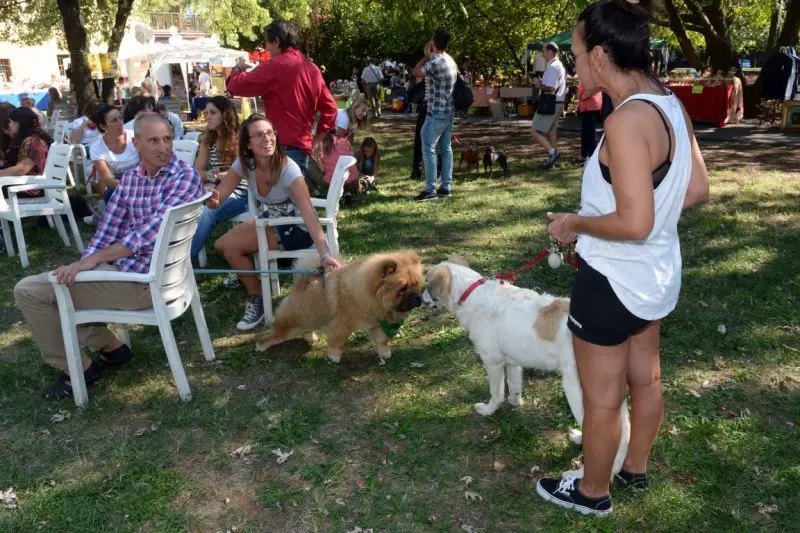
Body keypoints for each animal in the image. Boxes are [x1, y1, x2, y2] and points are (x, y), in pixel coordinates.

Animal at [256, 251, 424, 364]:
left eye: (416, 285)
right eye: (402, 288)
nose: (417, 297)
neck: (363, 294)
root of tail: (300, 285)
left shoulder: (374, 323)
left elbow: (381, 339)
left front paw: (384, 353)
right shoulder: (342, 325)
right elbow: (337, 340)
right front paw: (334, 355)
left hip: (311, 317)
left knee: (306, 329)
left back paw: (311, 337)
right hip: (293, 324)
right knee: (275, 336)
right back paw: (261, 345)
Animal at [422, 258, 628, 478]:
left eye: (426, 284)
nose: (418, 298)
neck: (471, 291)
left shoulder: (493, 362)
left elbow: (496, 393)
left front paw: (489, 410)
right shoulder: (512, 362)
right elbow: (514, 386)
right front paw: (515, 403)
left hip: (578, 391)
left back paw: (582, 473)